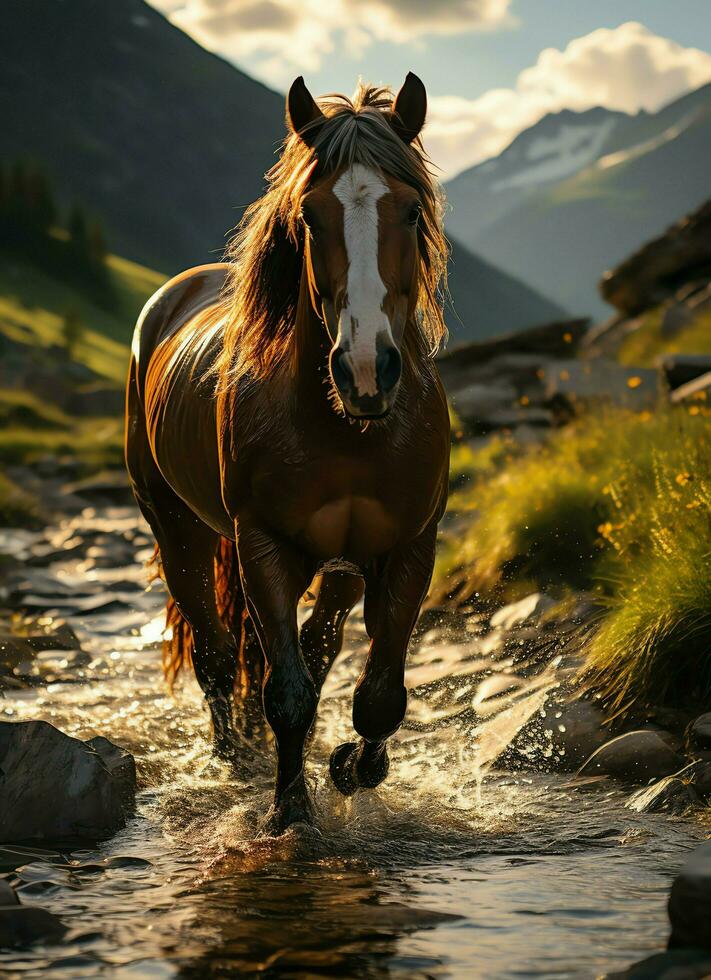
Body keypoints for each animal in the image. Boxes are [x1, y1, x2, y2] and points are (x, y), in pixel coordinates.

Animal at [126, 74, 450, 836]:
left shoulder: (408, 548)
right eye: (309, 215)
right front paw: (290, 810)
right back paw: (234, 756)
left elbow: (378, 694)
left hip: (337, 569)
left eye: (411, 210)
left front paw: (351, 770)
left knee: (316, 648)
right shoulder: (263, 546)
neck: (348, 430)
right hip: (177, 528)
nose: (365, 370)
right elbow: (288, 694)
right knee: (218, 656)